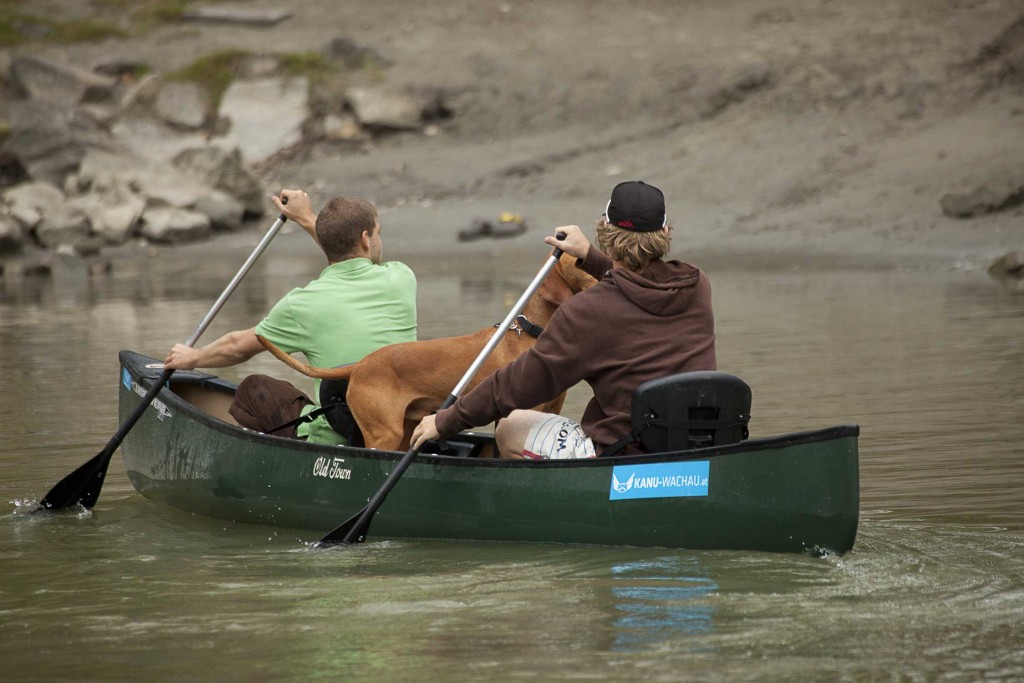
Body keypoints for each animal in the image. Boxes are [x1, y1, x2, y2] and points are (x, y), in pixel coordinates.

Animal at [260, 253, 598, 450]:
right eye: (581, 263)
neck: (529, 332)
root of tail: (359, 365)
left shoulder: (548, 410)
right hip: (384, 435)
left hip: (404, 430)